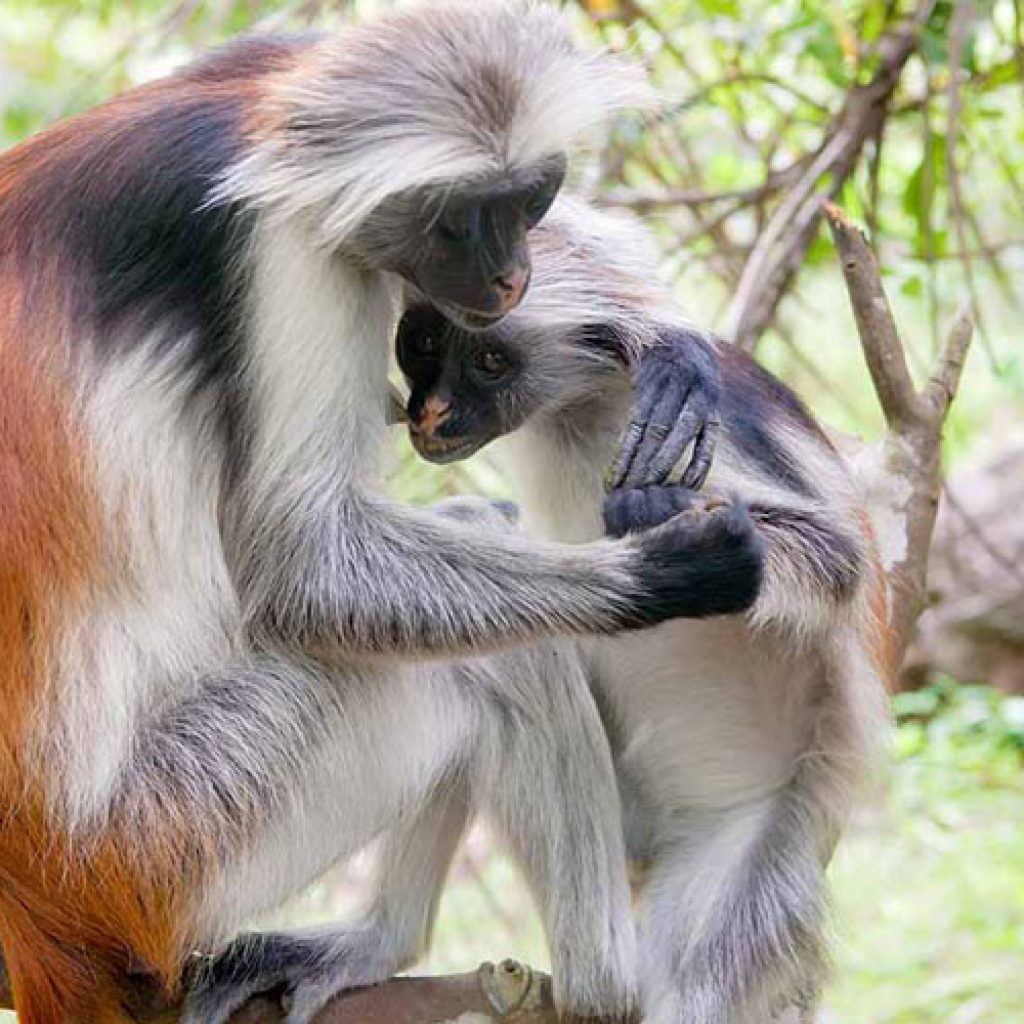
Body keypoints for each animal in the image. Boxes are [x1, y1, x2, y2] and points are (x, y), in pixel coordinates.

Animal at [0, 5, 770, 1023]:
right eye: (464, 219)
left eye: (531, 200)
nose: (513, 277)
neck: (251, 137)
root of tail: (34, 903)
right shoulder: (284, 248)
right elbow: (302, 565)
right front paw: (668, 569)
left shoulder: (270, 83)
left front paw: (655, 325)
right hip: (166, 842)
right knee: (495, 656)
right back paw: (601, 985)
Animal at [394, 197, 893, 1024]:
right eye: (426, 342)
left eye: (490, 362)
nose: (430, 414)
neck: (582, 405)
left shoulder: (711, 430)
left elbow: (840, 561)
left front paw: (665, 514)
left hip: (745, 848)